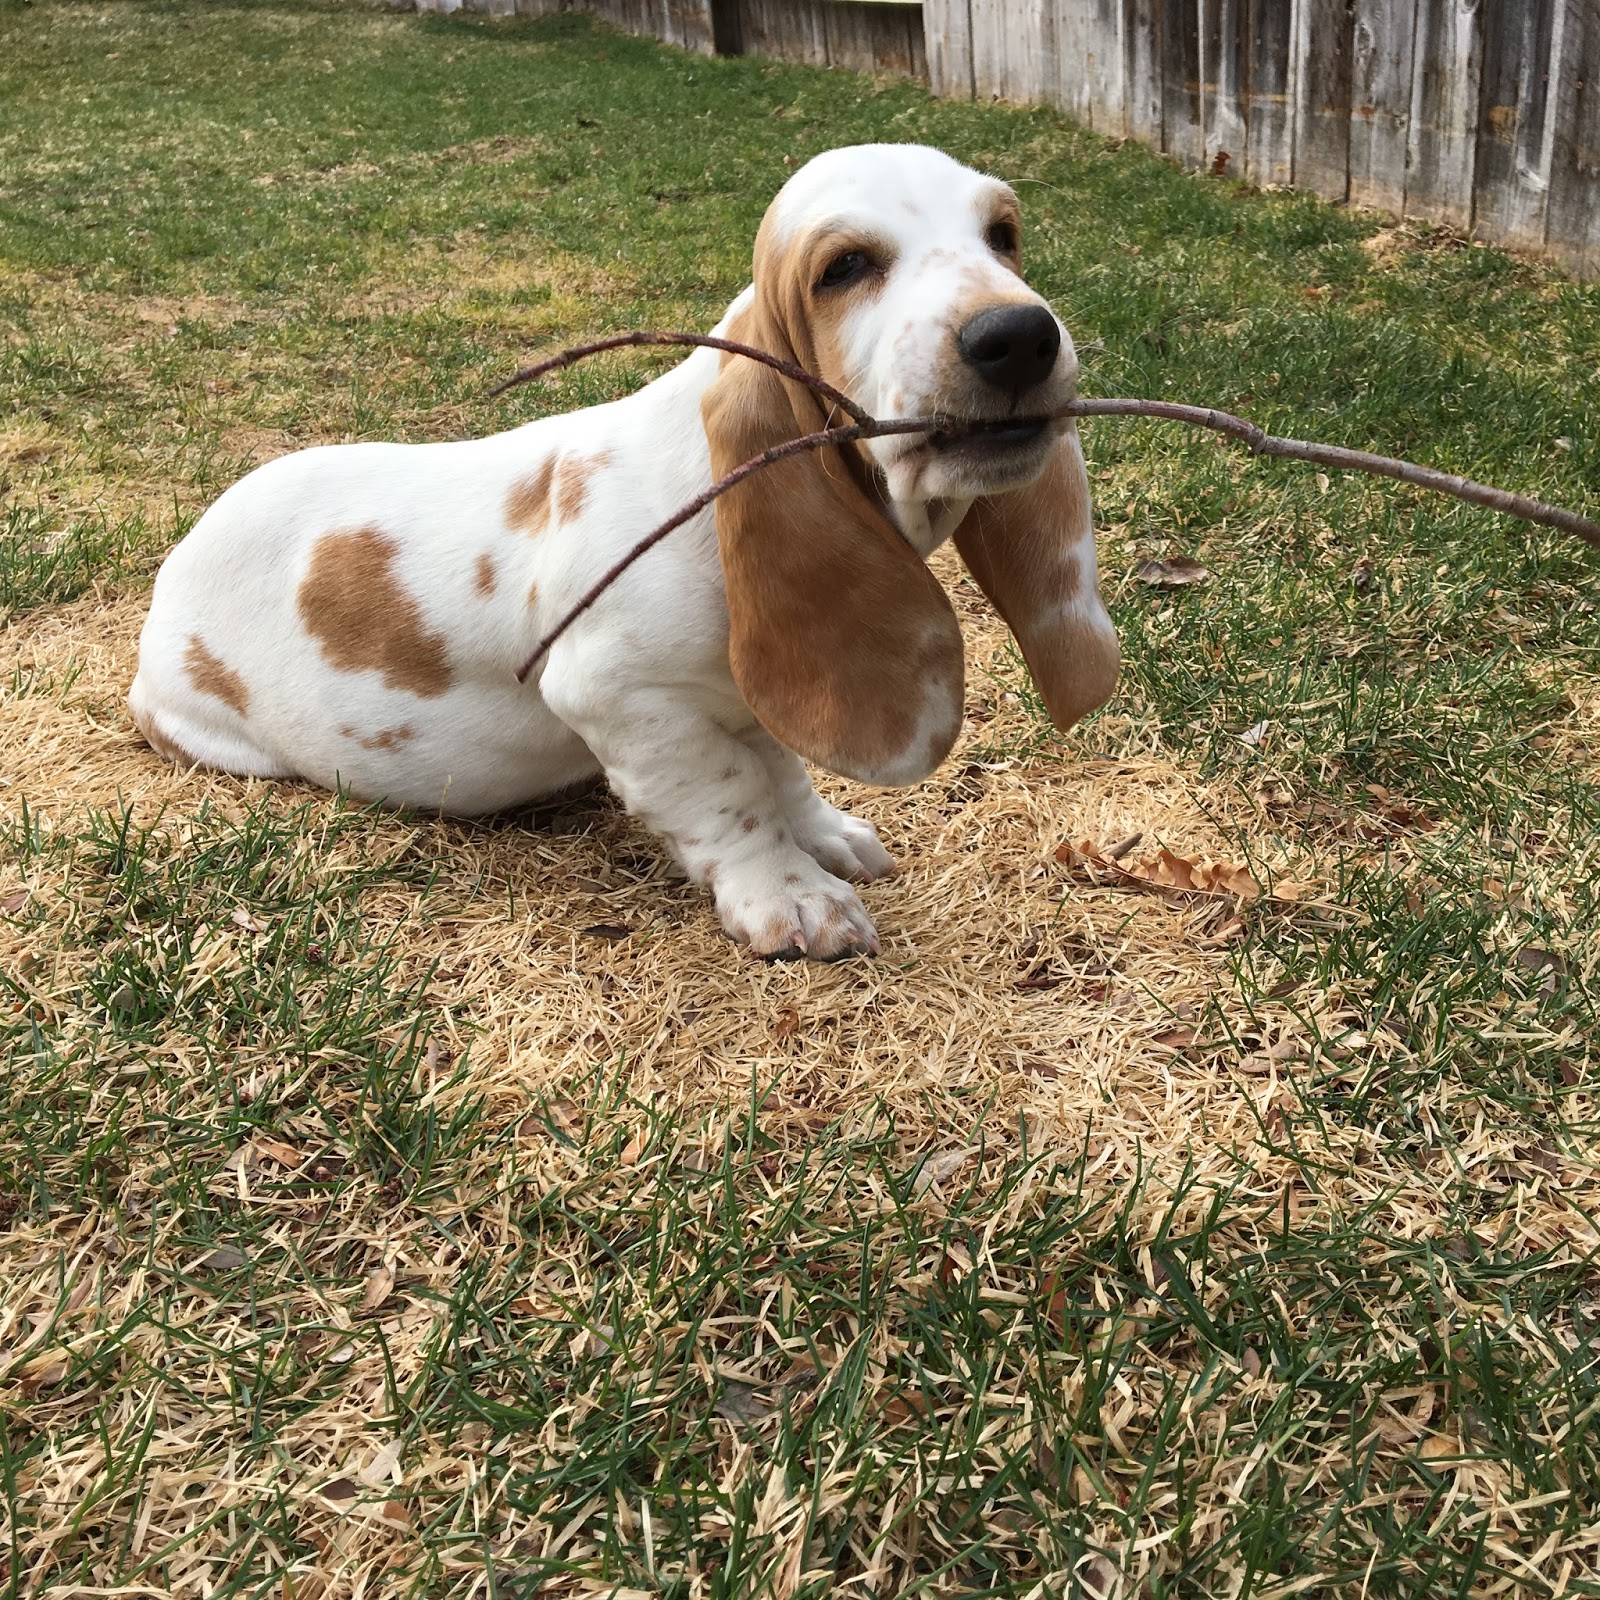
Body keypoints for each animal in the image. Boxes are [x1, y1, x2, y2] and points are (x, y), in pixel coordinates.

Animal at [130, 143, 1119, 960]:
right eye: (843, 268)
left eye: (1003, 235)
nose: (1018, 336)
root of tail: (176, 564)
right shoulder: (619, 695)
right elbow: (732, 797)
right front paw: (792, 898)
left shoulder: (748, 696)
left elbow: (783, 768)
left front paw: (827, 837)